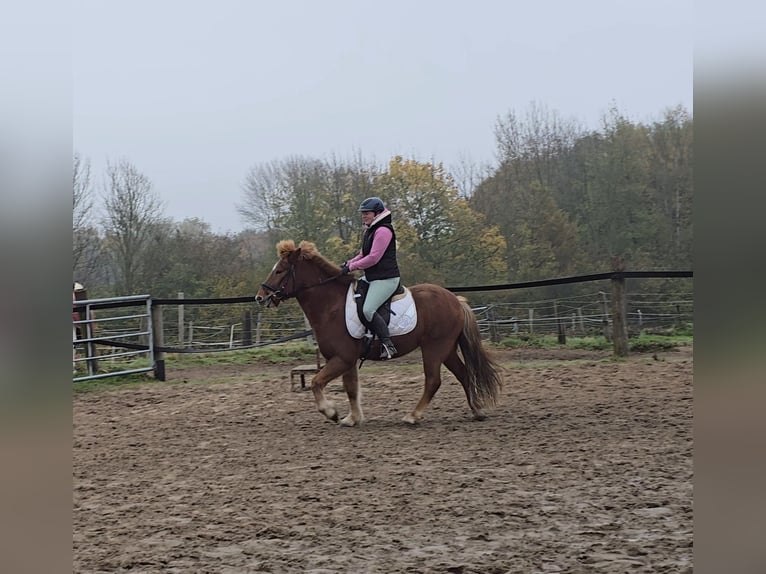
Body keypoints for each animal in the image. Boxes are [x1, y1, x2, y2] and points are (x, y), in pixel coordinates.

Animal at [255, 240, 504, 428]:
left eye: (279, 271)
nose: (260, 297)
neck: (331, 306)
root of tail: (455, 299)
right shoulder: (347, 360)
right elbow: (351, 388)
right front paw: (352, 418)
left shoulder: (342, 358)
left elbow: (316, 382)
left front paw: (331, 412)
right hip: (447, 349)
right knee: (463, 374)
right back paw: (477, 411)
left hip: (434, 348)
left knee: (433, 380)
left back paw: (413, 416)